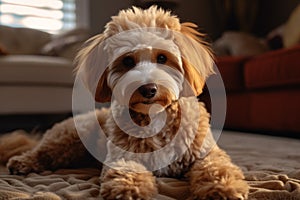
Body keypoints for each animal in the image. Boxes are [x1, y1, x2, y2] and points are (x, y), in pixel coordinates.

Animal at [2, 6, 248, 200]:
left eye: (162, 58)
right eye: (128, 61)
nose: (148, 89)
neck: (155, 117)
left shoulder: (205, 153)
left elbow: (217, 168)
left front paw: (224, 188)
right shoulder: (123, 156)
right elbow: (128, 171)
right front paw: (130, 189)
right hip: (67, 137)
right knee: (41, 151)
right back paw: (23, 162)